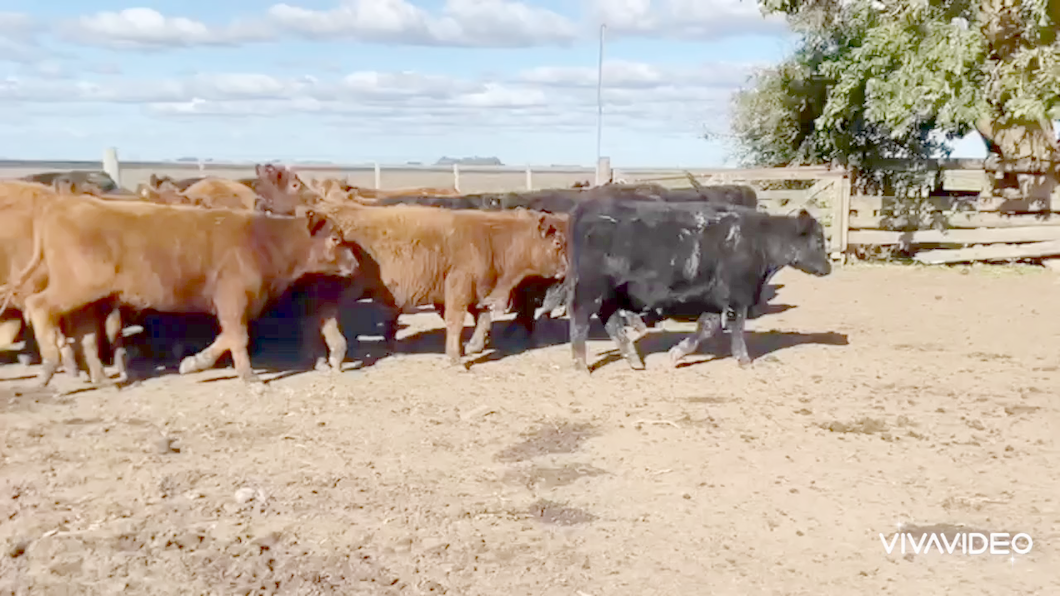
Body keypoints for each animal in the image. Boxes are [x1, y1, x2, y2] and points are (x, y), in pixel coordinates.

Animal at [2, 195, 360, 386]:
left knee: (85, 336)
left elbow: (225, 339)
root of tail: (67, 203)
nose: (356, 264)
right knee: (38, 305)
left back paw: (99, 378)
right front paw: (250, 379)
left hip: (89, 299)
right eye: (335, 239)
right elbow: (237, 338)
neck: (264, 242)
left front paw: (194, 362)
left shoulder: (230, 304)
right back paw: (49, 363)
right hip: (77, 285)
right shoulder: (233, 298)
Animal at [307, 200, 568, 366]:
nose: (566, 269)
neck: (491, 240)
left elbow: (482, 318)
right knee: (324, 316)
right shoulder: (459, 288)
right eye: (557, 243)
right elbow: (456, 321)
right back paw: (335, 354)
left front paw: (473, 346)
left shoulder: (460, 292)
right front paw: (455, 358)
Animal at [572, 201, 826, 373]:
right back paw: (580, 364)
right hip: (590, 289)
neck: (759, 240)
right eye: (819, 240)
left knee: (611, 320)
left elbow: (707, 327)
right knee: (581, 318)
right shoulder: (738, 295)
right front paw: (744, 360)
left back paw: (634, 361)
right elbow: (737, 328)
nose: (828, 267)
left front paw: (675, 354)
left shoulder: (717, 299)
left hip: (609, 293)